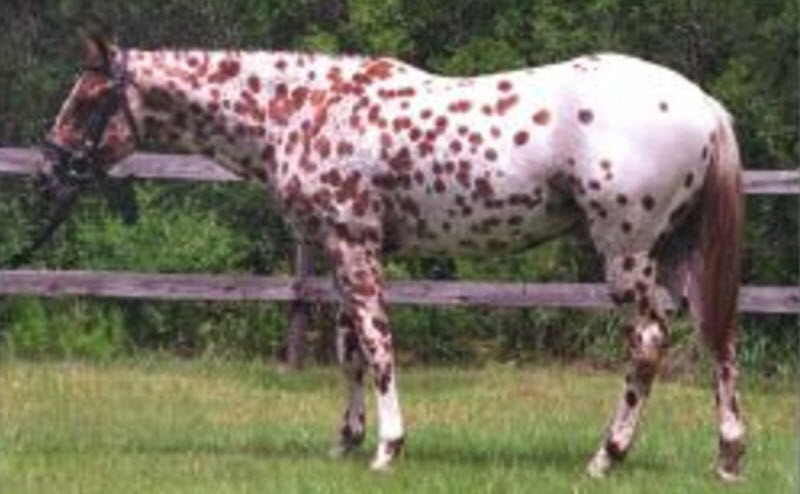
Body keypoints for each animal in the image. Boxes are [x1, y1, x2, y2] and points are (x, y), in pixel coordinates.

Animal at [36, 35, 744, 482]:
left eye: (87, 99)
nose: (48, 172)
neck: (301, 110)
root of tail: (705, 107)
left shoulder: (355, 245)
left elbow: (377, 345)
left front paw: (387, 448)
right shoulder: (336, 252)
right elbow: (349, 348)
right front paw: (344, 444)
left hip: (627, 252)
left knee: (648, 343)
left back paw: (605, 458)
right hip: (679, 254)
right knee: (719, 340)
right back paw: (728, 458)